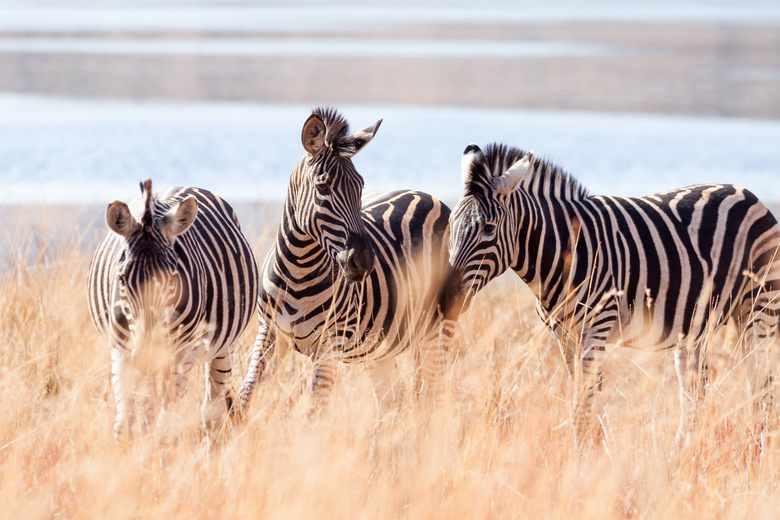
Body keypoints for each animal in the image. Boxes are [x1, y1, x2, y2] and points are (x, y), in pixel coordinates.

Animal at [88, 180, 258, 442]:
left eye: (172, 279)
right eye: (122, 278)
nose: (146, 356)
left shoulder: (182, 354)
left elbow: (166, 423)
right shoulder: (122, 350)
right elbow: (126, 423)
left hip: (222, 348)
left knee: (212, 413)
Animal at [241, 107, 454, 412]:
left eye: (361, 186)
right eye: (323, 187)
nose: (363, 262)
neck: (297, 269)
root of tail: (427, 195)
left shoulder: (330, 343)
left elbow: (315, 408)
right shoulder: (267, 332)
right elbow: (245, 395)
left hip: (440, 325)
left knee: (434, 390)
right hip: (378, 347)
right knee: (391, 399)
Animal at [438, 142, 780, 446]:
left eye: (488, 228)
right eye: (451, 224)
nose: (445, 297)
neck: (566, 251)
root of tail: (748, 193)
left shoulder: (596, 329)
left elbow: (583, 407)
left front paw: (580, 461)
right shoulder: (565, 336)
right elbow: (584, 401)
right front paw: (592, 452)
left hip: (759, 309)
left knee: (761, 384)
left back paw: (758, 448)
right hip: (696, 326)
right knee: (696, 390)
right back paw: (683, 454)